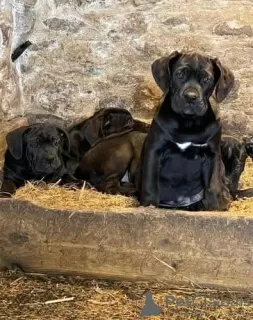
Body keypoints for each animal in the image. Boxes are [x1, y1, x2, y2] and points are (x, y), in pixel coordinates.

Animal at [137, 50, 234, 210]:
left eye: (206, 79)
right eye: (180, 74)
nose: (191, 97)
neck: (188, 122)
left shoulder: (213, 154)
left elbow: (213, 184)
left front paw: (213, 207)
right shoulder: (155, 149)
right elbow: (150, 182)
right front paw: (149, 205)